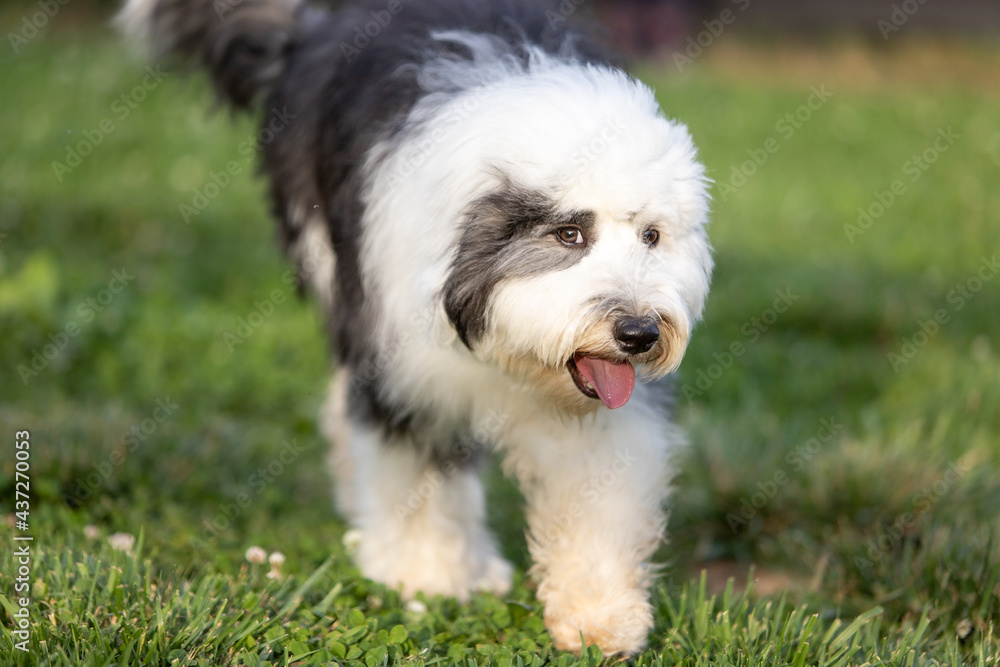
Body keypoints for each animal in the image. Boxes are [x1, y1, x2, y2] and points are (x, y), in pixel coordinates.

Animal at [117, 0, 712, 656]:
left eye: (652, 235)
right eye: (569, 234)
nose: (639, 334)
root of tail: (315, 29)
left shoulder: (600, 417)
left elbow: (597, 495)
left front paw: (599, 615)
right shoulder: (405, 375)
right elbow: (416, 475)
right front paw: (427, 577)